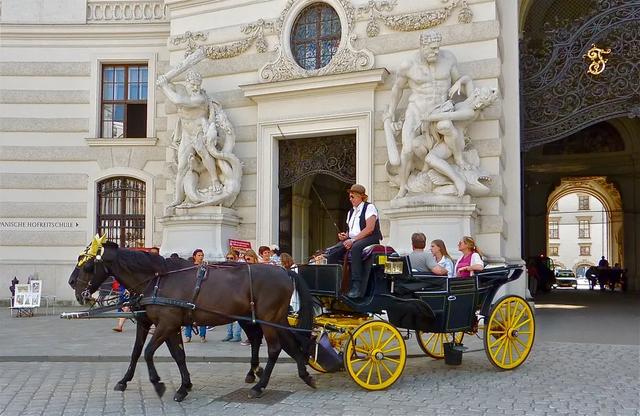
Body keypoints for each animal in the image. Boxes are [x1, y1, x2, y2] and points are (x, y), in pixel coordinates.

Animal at [69, 239, 316, 402]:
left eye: (88, 265)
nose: (72, 284)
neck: (158, 279)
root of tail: (285, 272)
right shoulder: (161, 324)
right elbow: (158, 353)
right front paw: (182, 385)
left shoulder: (166, 324)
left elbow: (148, 352)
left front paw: (158, 383)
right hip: (274, 318)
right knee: (289, 342)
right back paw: (303, 374)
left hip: (266, 318)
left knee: (274, 348)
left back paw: (260, 385)